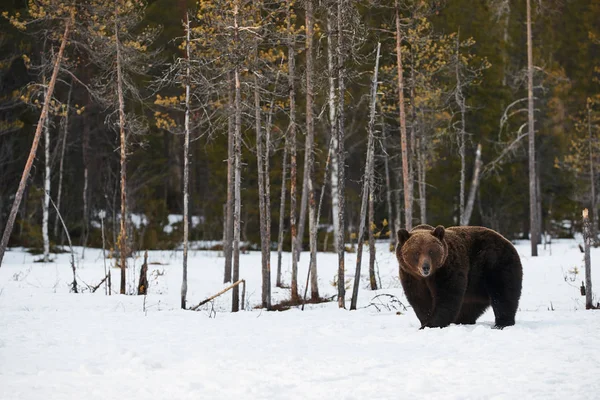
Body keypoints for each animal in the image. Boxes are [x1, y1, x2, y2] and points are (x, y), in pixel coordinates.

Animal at [396, 223, 524, 330]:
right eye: (416, 252)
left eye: (431, 251)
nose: (425, 267)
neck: (427, 277)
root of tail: (506, 240)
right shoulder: (411, 276)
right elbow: (420, 299)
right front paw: (425, 322)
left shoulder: (448, 268)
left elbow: (447, 296)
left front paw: (432, 324)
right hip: (475, 285)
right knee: (472, 305)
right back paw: (463, 320)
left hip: (495, 264)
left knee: (503, 294)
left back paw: (502, 323)